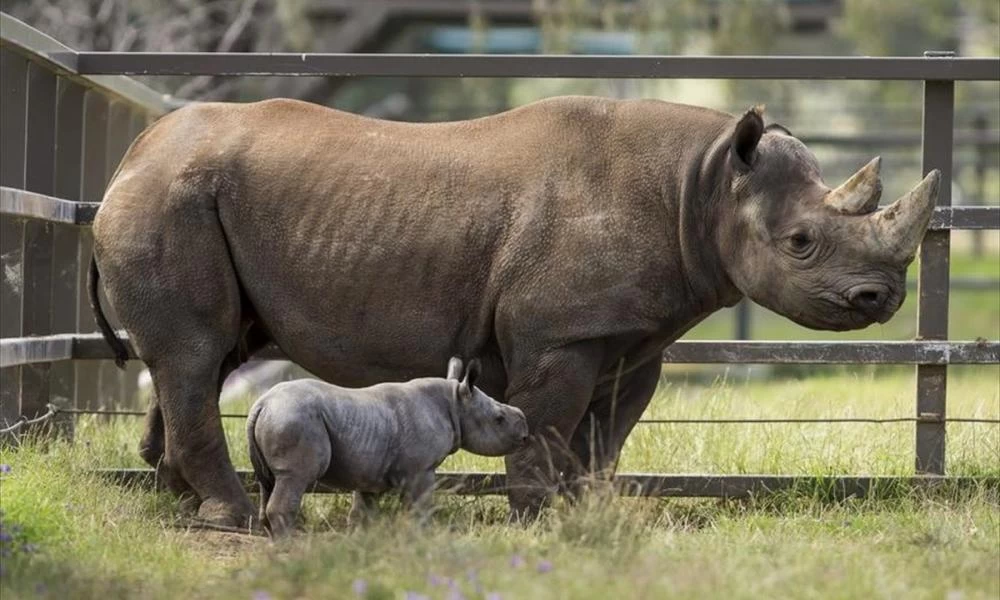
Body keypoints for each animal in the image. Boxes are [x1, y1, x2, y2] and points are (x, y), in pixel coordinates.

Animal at [246, 356, 528, 536]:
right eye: (499, 419)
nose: (526, 433)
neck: (455, 404)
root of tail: (261, 404)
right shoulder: (420, 469)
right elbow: (419, 508)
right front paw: (421, 539)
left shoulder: (366, 470)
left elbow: (362, 513)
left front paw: (362, 542)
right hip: (293, 417)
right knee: (295, 477)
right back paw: (290, 546)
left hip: (281, 416)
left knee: (267, 482)